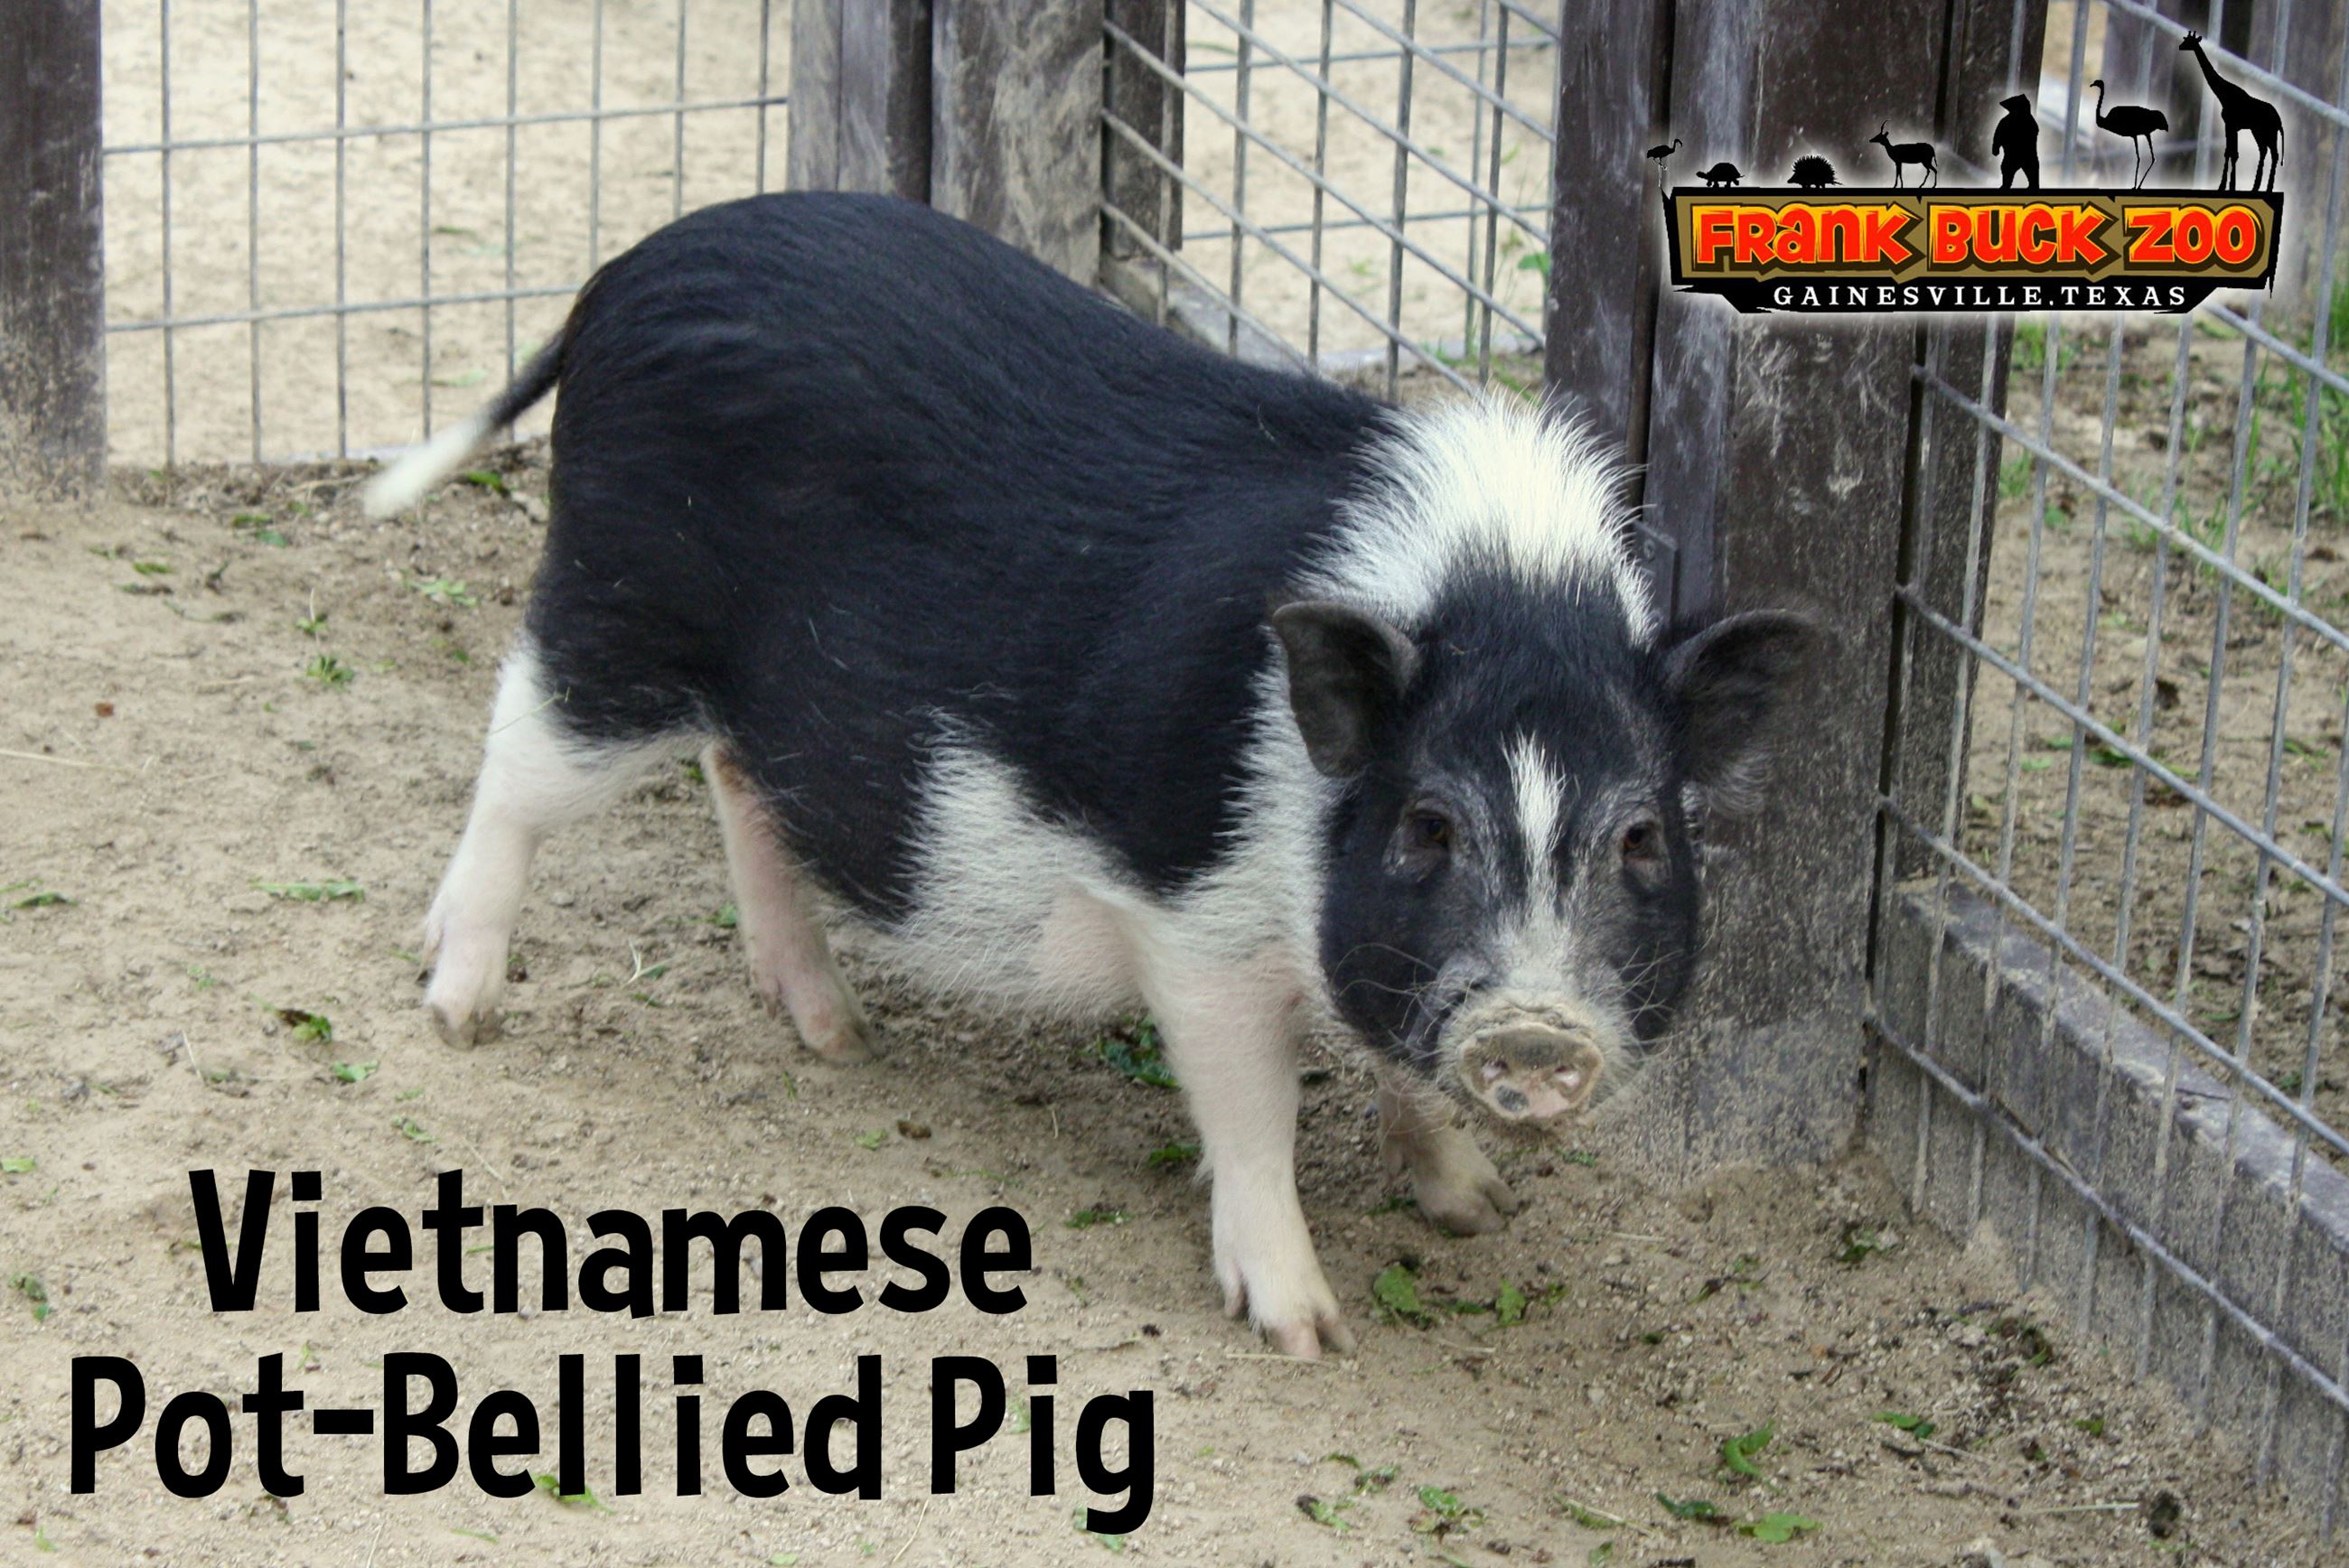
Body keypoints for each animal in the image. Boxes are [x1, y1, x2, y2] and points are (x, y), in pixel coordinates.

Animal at [365, 193, 1817, 1357]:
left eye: (1640, 836)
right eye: (1425, 823)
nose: (1535, 1031)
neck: (1503, 596)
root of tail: (627, 275)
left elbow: (1399, 1060)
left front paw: (1475, 1208)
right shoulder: (1193, 923)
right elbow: (1253, 1114)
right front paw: (1308, 1333)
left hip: (733, 683)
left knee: (736, 773)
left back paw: (838, 1035)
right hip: (614, 606)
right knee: (515, 757)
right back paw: (455, 1010)